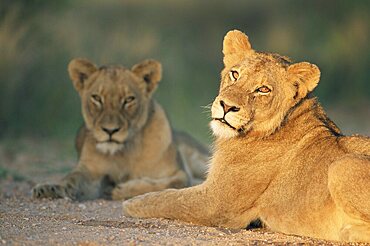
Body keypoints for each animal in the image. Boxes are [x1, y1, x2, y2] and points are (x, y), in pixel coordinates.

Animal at [31, 58, 208, 201]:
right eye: (97, 98)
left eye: (129, 99)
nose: (110, 131)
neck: (124, 152)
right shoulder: (90, 170)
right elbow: (71, 178)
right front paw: (50, 188)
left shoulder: (179, 173)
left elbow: (165, 185)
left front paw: (119, 190)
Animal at [122, 29, 370, 242]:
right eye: (235, 74)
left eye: (263, 89)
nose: (226, 106)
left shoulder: (215, 202)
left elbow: (169, 199)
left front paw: (131, 203)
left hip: (341, 166)